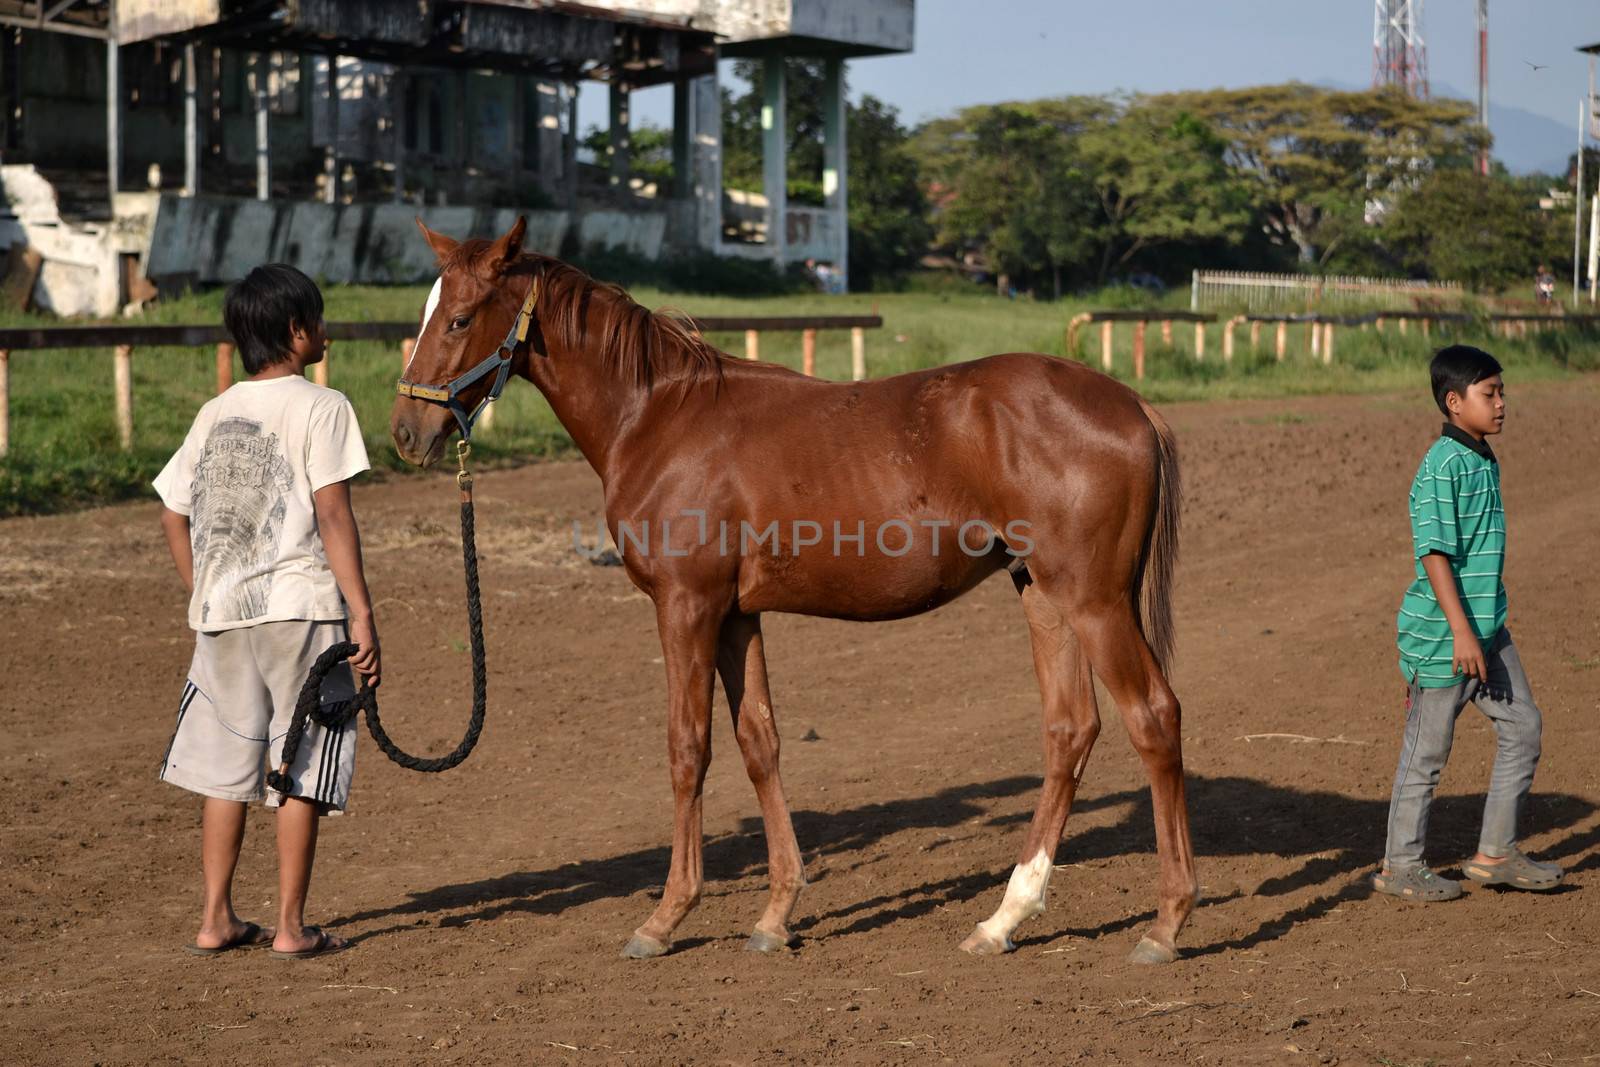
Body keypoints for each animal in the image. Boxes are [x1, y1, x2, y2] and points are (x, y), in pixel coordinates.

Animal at [393, 219, 1196, 966]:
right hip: (1043, 597)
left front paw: (664, 918)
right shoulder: (735, 617)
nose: (406, 431)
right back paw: (1002, 920)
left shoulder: (686, 607)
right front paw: (776, 914)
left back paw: (1165, 923)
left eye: (459, 318)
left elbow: (688, 747)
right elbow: (759, 743)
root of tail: (1134, 407)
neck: (659, 418)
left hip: (1094, 602)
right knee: (1070, 730)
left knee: (1153, 718)